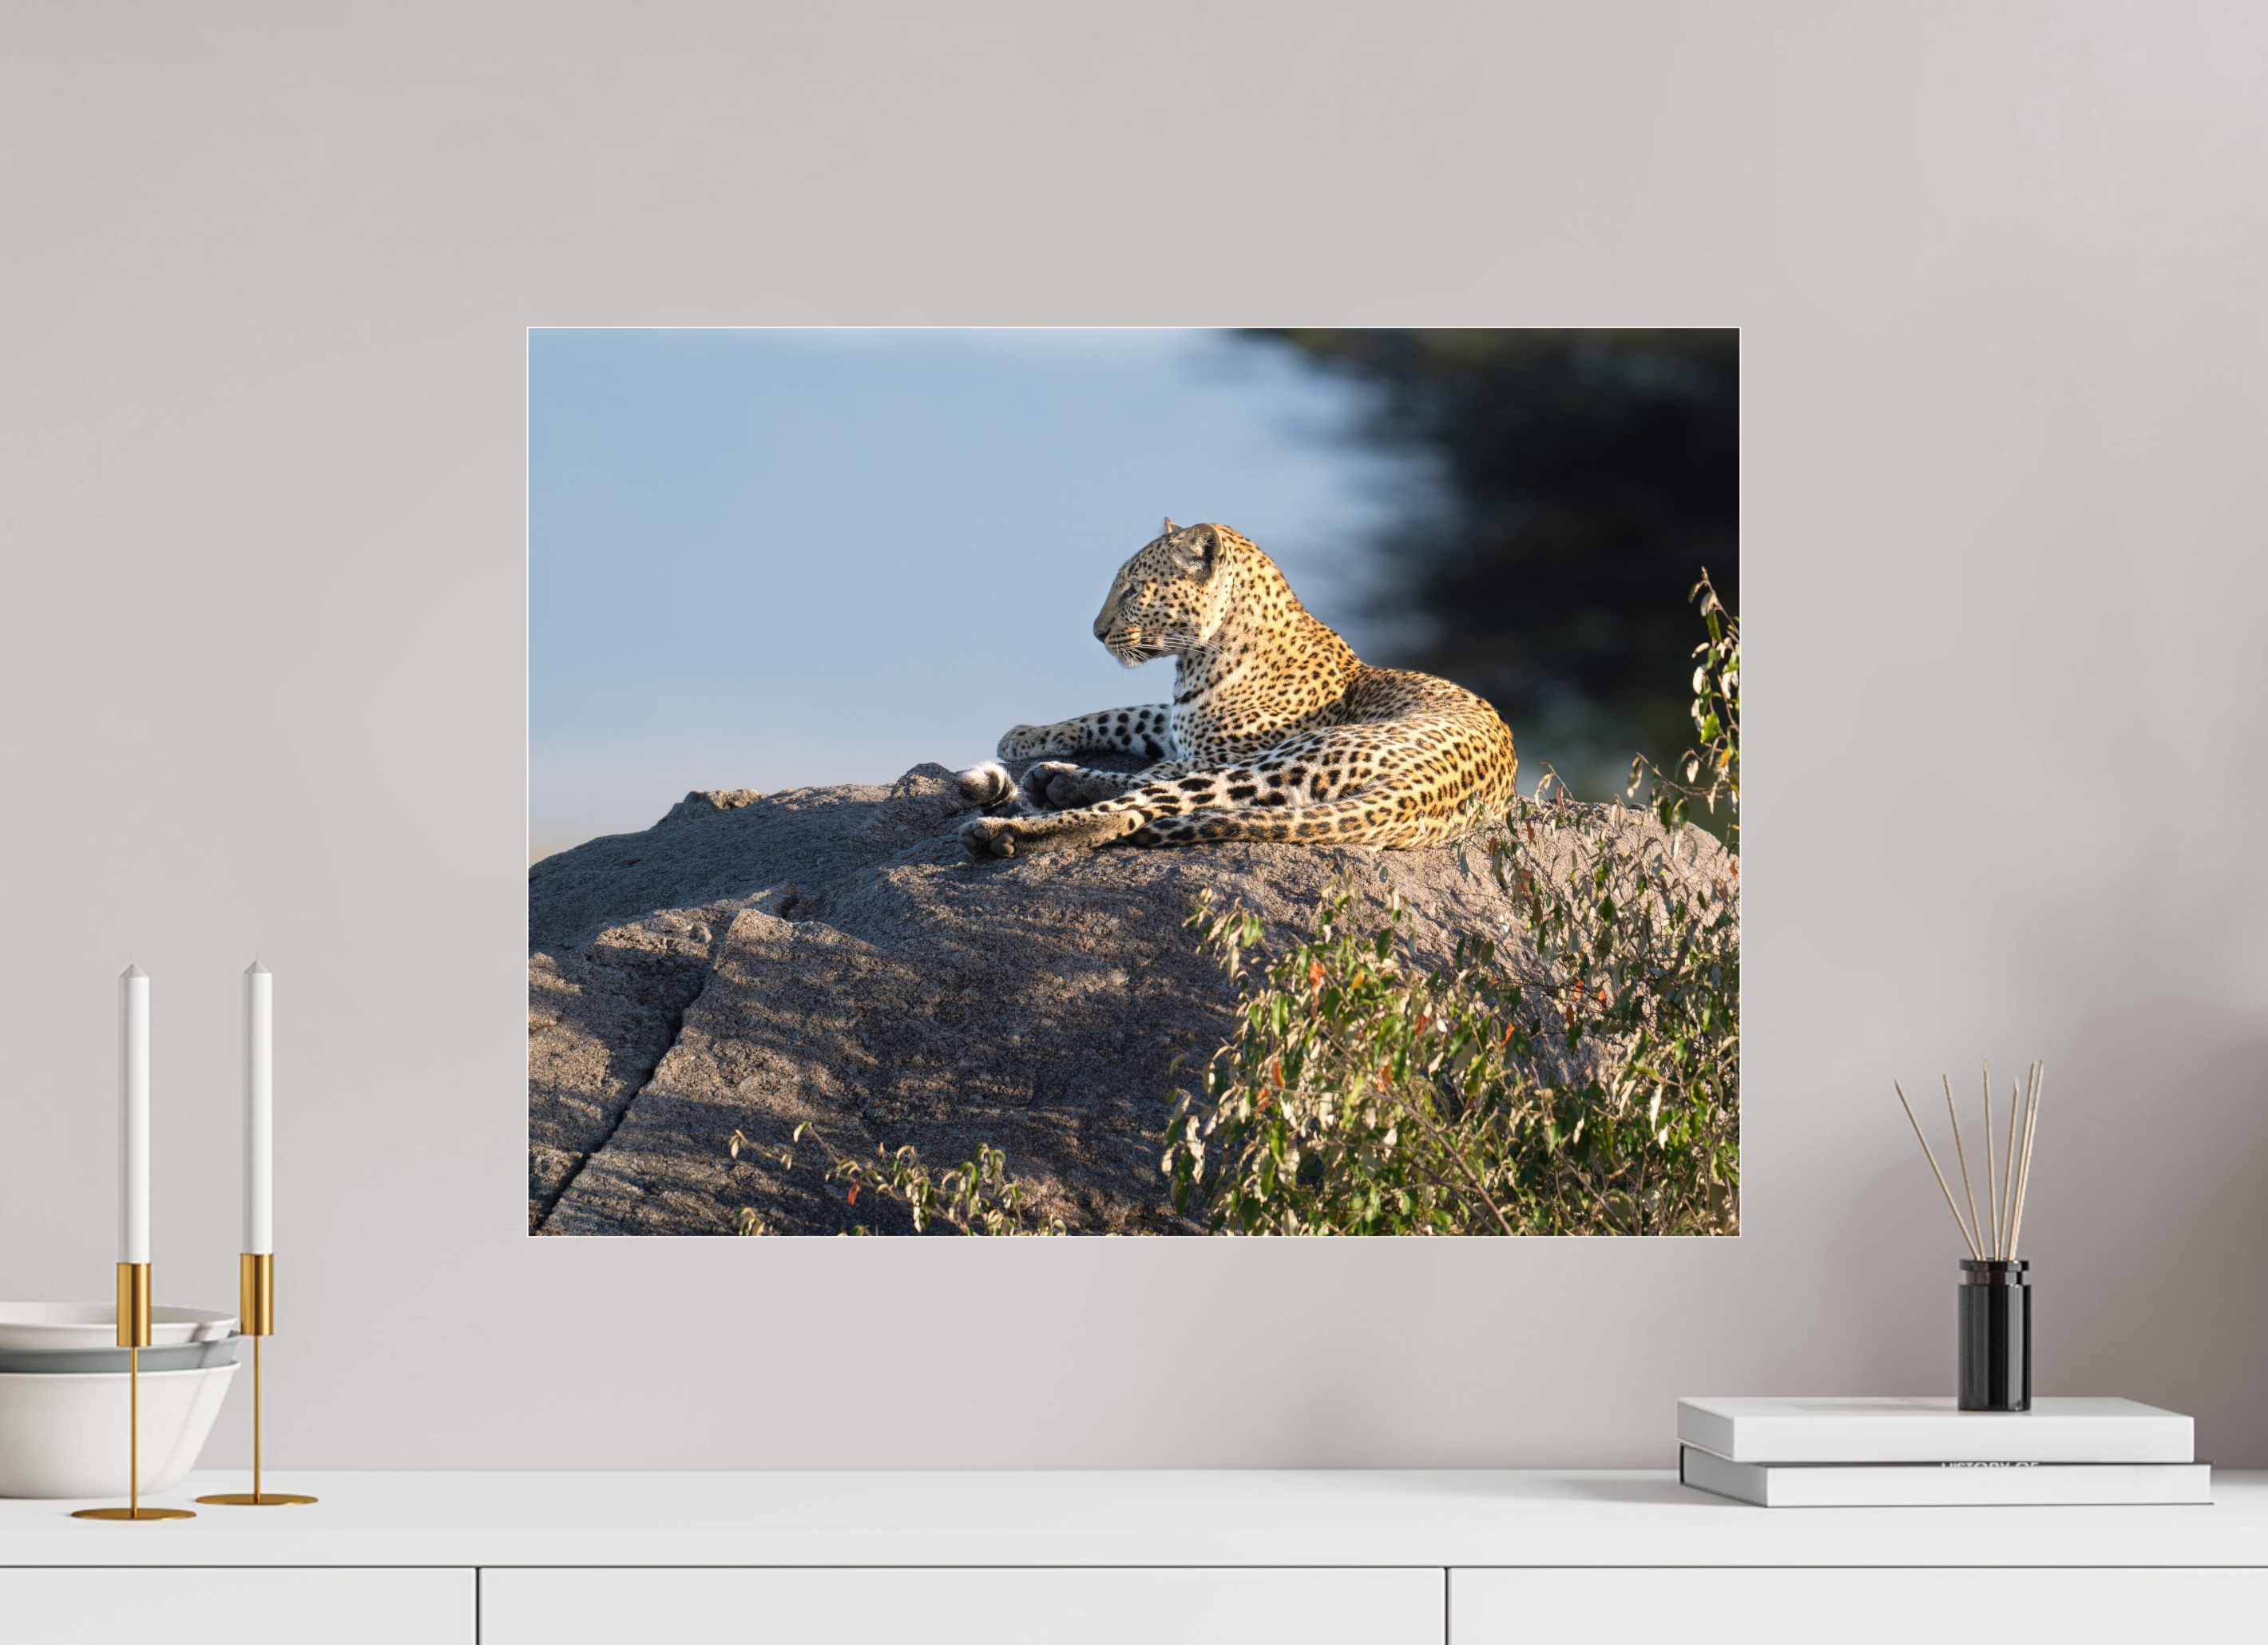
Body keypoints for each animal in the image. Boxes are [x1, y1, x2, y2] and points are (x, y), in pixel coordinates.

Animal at [956, 519, 1517, 858]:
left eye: (1134, 589)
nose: (1096, 631)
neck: (1197, 656)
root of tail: (1422, 792)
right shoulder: (1179, 722)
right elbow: (1119, 715)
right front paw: (1025, 736)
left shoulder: (1215, 750)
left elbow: (1148, 770)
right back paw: (1052, 779)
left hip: (1287, 761)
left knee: (1144, 807)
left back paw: (1009, 829)